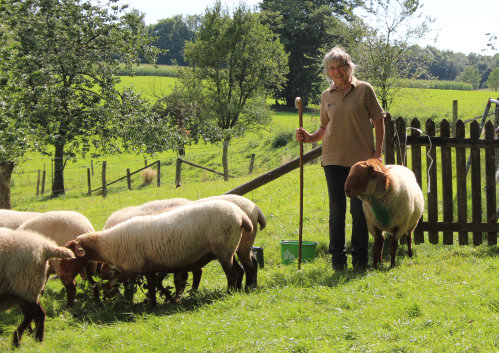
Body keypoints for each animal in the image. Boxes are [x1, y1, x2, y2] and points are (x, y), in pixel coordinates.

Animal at [65, 199, 254, 306]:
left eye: (72, 251)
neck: (109, 245)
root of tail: (241, 215)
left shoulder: (131, 268)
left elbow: (115, 283)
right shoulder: (147, 269)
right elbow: (152, 287)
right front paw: (155, 305)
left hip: (223, 249)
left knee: (231, 273)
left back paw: (230, 292)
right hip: (230, 249)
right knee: (240, 270)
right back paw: (239, 290)